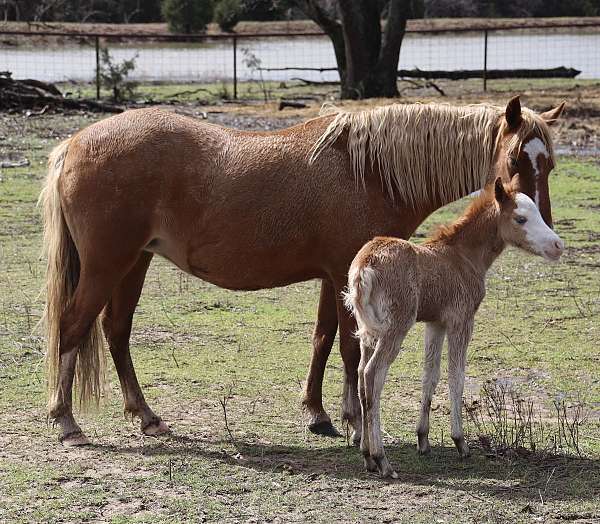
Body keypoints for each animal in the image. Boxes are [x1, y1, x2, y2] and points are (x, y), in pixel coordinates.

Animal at [41, 94, 564, 442]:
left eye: (551, 163)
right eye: (517, 156)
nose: (544, 224)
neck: (370, 171)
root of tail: (75, 144)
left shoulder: (337, 278)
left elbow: (323, 339)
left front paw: (318, 413)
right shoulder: (344, 274)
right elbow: (351, 350)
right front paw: (353, 416)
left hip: (135, 262)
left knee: (116, 331)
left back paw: (146, 416)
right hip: (108, 265)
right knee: (73, 326)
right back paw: (66, 421)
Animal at [344, 177, 564, 478]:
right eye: (520, 218)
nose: (557, 245)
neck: (463, 257)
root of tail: (364, 267)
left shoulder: (435, 323)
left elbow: (430, 375)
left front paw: (423, 440)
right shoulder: (461, 320)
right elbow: (456, 376)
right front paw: (460, 442)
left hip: (367, 330)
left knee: (361, 375)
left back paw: (367, 456)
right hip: (396, 327)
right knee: (373, 374)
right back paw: (382, 460)